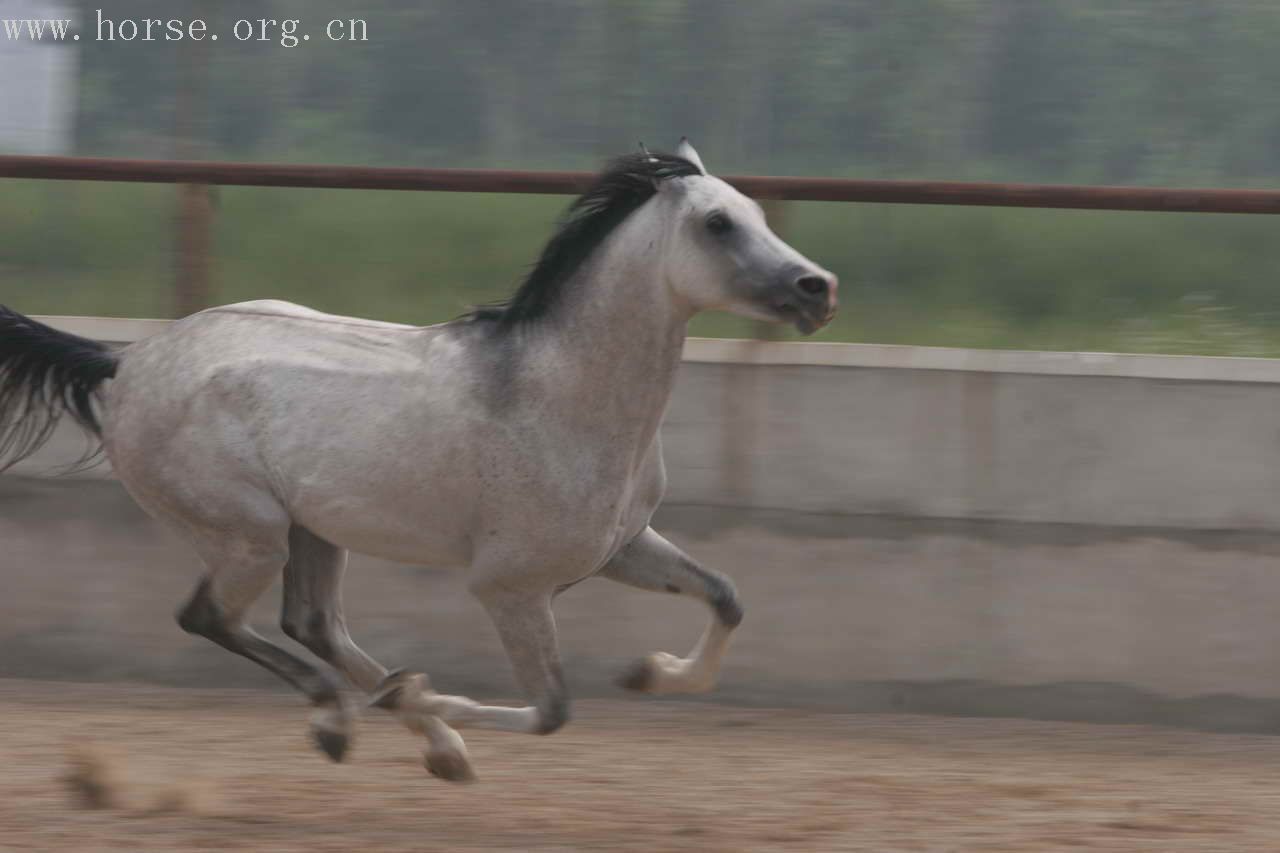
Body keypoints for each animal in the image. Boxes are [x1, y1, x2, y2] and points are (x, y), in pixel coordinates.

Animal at [0, 139, 839, 778]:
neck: (561, 393)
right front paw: (417, 695)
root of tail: (126, 362)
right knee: (209, 615)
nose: (818, 288)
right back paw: (345, 721)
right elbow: (552, 710)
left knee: (312, 622)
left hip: (312, 530)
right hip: (248, 533)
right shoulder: (510, 586)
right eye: (718, 222)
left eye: (757, 213)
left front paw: (648, 671)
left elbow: (727, 596)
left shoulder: (621, 548)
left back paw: (433, 742)